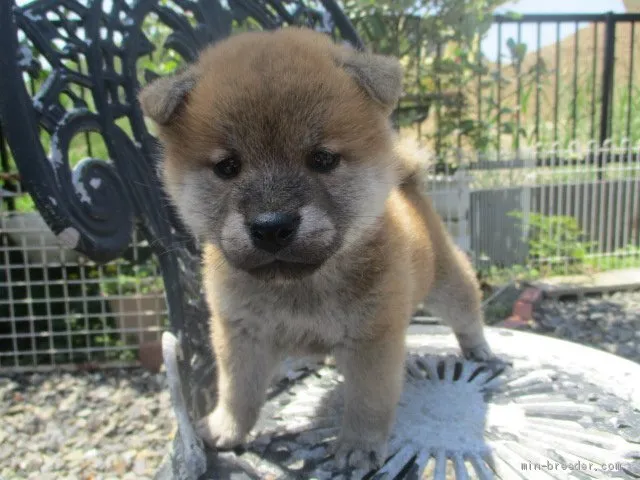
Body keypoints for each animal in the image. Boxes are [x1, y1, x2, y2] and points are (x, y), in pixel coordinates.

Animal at [138, 27, 492, 472]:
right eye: (227, 167)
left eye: (322, 159)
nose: (272, 227)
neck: (299, 287)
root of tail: (408, 184)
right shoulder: (241, 336)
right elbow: (238, 391)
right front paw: (227, 427)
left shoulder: (373, 342)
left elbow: (368, 402)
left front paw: (358, 445)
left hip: (445, 282)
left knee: (467, 310)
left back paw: (480, 348)